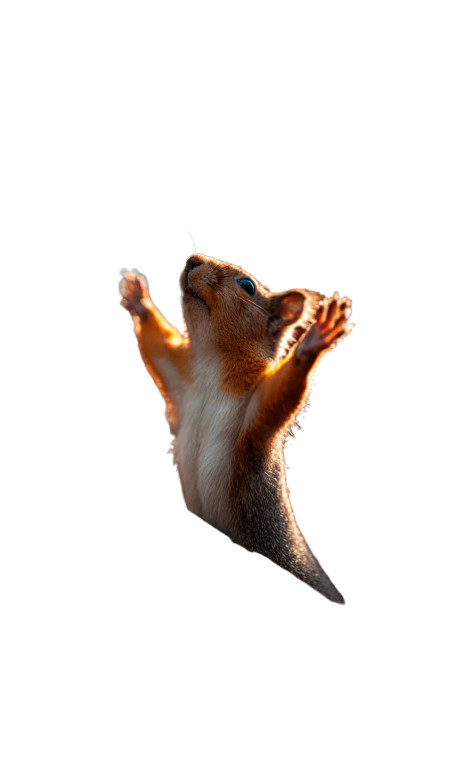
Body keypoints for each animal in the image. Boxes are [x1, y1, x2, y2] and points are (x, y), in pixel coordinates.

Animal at [119, 254, 353, 603]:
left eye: (247, 286)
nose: (192, 260)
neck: (213, 362)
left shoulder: (254, 415)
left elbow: (282, 394)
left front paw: (314, 340)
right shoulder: (180, 381)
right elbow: (157, 349)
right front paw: (138, 297)